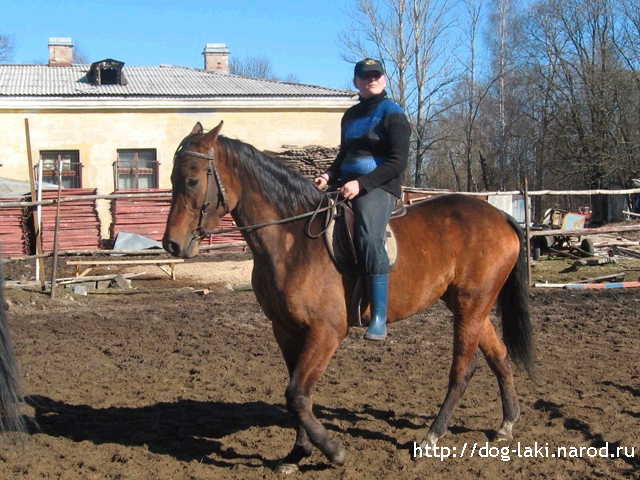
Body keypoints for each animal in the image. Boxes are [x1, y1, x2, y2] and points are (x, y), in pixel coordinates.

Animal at [162, 122, 532, 470]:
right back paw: (506, 424)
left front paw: (333, 451)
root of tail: (500, 216)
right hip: (470, 306)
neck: (293, 240)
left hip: (471, 306)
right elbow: (298, 394)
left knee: (462, 370)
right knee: (499, 356)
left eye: (192, 180)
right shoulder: (286, 330)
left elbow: (297, 394)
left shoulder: (326, 331)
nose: (172, 244)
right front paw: (297, 453)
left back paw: (431, 437)